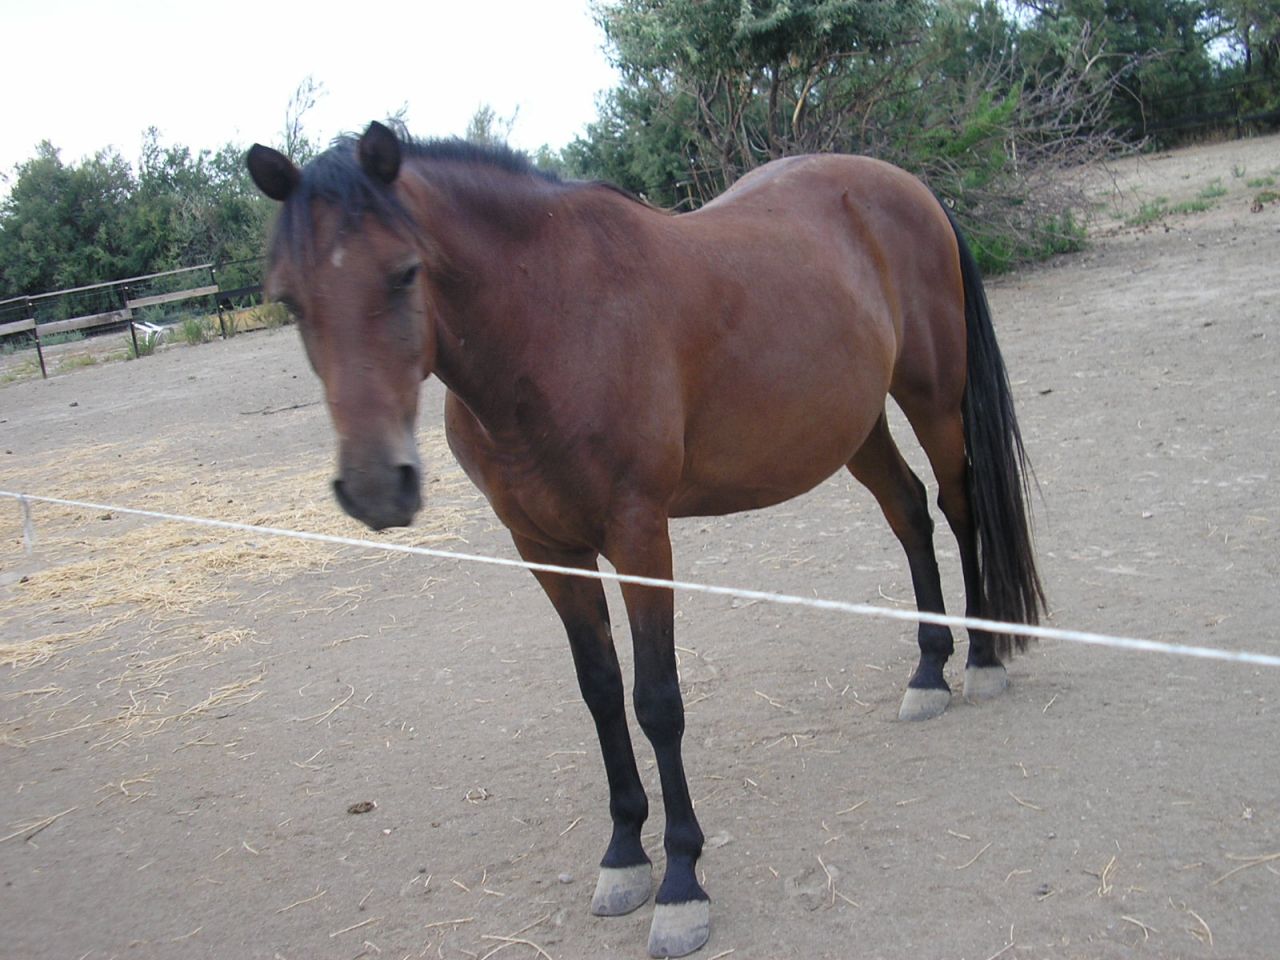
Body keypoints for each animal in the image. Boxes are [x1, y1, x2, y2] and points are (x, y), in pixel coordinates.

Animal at [246, 121, 1044, 958]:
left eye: (405, 274)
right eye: (290, 300)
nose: (376, 484)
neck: (551, 320)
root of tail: (907, 186)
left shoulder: (639, 537)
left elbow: (656, 701)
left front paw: (682, 882)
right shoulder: (546, 549)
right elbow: (599, 693)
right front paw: (625, 854)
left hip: (933, 397)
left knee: (959, 509)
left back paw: (983, 661)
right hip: (851, 425)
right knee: (909, 512)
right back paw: (928, 672)